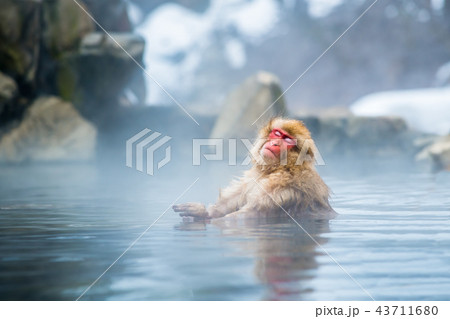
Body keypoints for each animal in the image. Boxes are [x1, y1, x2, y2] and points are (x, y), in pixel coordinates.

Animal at [174, 117, 336, 220]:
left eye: (288, 140)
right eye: (277, 134)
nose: (275, 143)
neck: (279, 168)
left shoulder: (283, 187)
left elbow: (246, 216)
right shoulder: (254, 176)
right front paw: (204, 212)